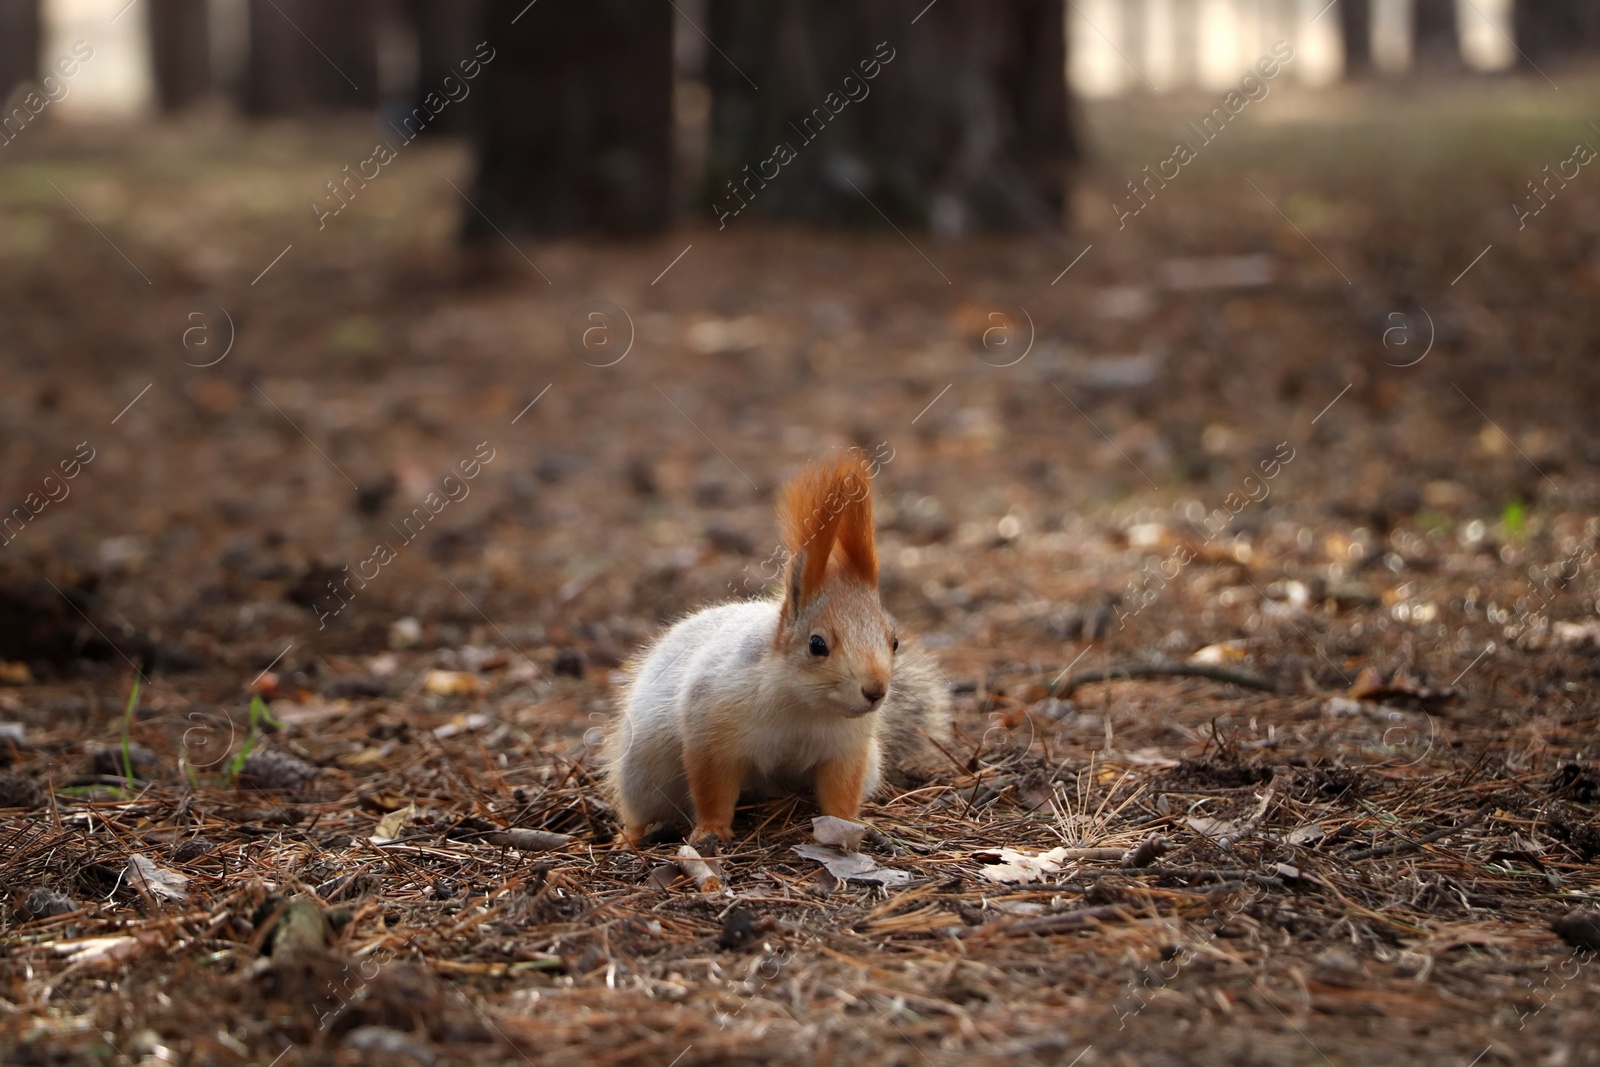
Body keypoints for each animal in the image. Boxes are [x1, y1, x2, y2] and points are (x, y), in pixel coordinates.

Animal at [601, 451, 947, 844]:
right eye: (816, 644)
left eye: (895, 641)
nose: (875, 691)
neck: (803, 707)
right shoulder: (711, 730)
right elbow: (712, 788)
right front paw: (712, 830)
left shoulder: (847, 749)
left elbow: (841, 790)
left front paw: (850, 824)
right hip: (641, 776)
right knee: (641, 812)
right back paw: (630, 836)